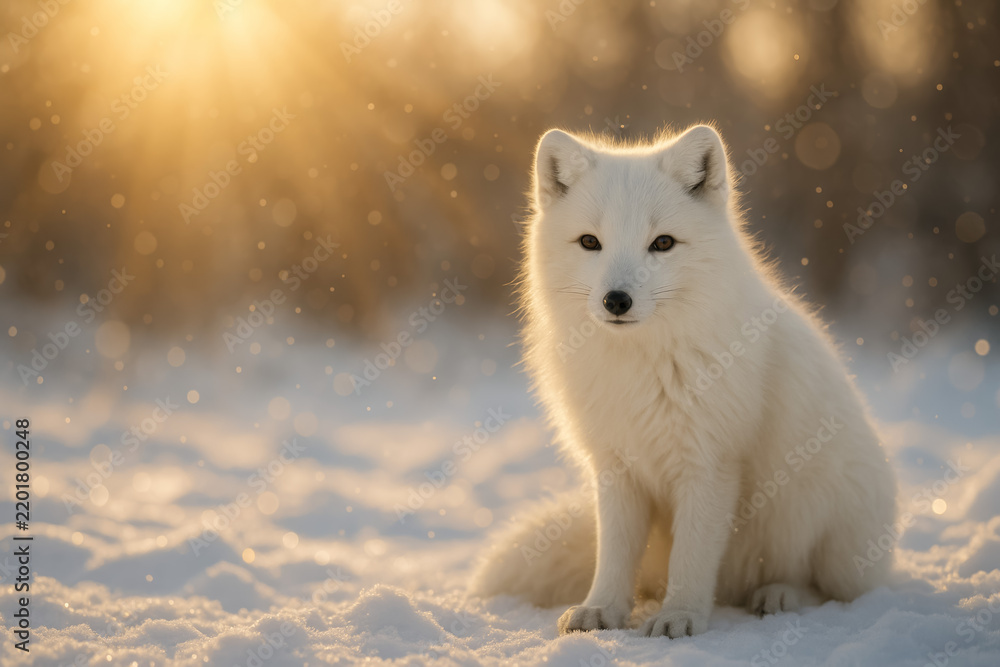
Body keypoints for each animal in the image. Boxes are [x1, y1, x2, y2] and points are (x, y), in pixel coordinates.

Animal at [471, 125, 898, 637]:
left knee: (828, 589)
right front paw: (602, 610)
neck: (641, 367)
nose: (616, 300)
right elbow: (614, 556)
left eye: (663, 243)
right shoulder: (615, 467)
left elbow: (691, 557)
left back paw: (778, 595)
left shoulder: (709, 464)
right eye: (590, 242)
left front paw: (680, 617)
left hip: (825, 521)